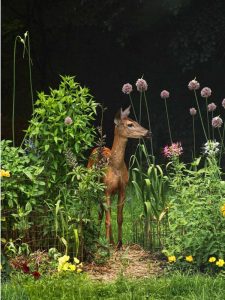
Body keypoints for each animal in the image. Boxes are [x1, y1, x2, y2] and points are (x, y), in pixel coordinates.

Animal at [88, 105, 151, 248]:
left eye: (135, 121)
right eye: (130, 124)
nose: (148, 132)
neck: (115, 167)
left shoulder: (123, 189)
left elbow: (119, 218)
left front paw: (119, 243)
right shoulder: (107, 190)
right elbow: (108, 220)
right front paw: (106, 245)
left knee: (103, 211)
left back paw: (109, 240)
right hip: (93, 188)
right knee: (97, 212)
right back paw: (98, 238)